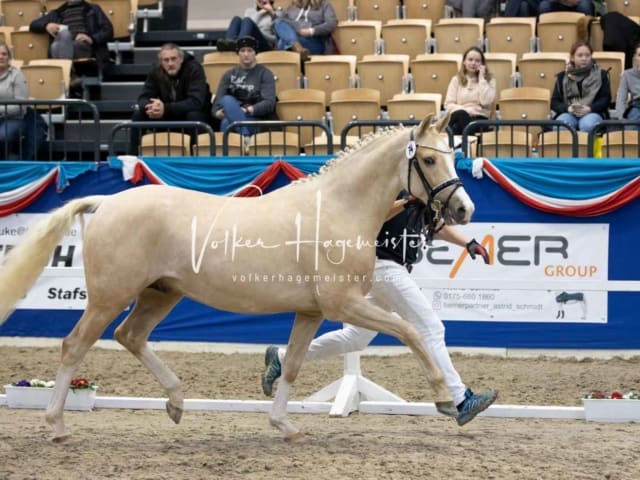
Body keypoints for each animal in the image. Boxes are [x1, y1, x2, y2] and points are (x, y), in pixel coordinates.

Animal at [0, 113, 472, 442]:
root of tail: (106, 202)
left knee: (130, 336)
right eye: (429, 158)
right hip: (108, 297)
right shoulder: (345, 304)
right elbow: (410, 331)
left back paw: (176, 403)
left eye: (453, 155)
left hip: (160, 294)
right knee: (75, 345)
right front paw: (445, 400)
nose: (464, 209)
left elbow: (293, 364)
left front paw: (284, 426)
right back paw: (57, 425)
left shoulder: (312, 311)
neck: (337, 208)